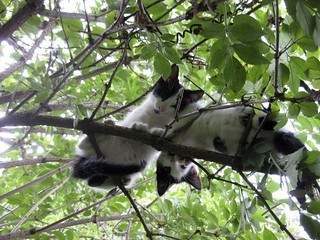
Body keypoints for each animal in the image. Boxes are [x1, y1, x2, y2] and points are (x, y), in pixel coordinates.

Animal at [71, 63, 204, 191]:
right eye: (164, 95)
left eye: (174, 106)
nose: (161, 108)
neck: (157, 117)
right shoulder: (140, 113)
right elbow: (136, 121)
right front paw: (138, 126)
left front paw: (158, 132)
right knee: (82, 145)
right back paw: (102, 129)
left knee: (93, 181)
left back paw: (119, 179)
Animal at [158, 105, 308, 197]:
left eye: (166, 170)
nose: (178, 160)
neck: (188, 139)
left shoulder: (196, 114)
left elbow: (176, 124)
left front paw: (158, 133)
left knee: (262, 120)